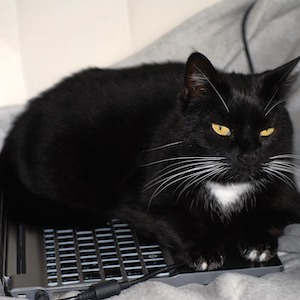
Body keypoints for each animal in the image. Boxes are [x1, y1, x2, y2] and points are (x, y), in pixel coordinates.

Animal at [0, 52, 300, 272]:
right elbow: (175, 220)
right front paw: (204, 250)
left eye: (267, 131)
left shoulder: (286, 194)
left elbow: (272, 215)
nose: (248, 156)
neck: (227, 187)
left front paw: (258, 241)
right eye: (221, 129)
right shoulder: (140, 199)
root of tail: (21, 120)